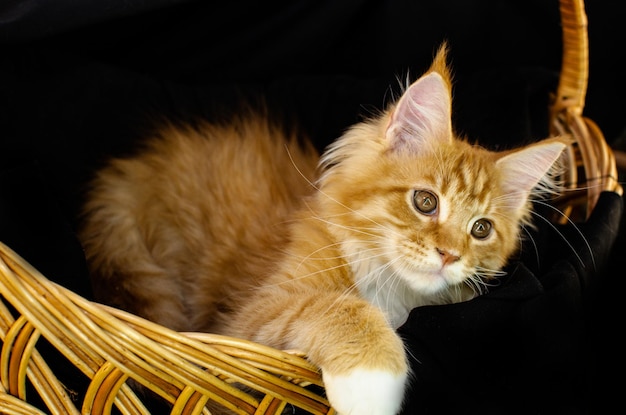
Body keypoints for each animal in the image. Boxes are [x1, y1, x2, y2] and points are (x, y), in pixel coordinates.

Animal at [78, 44, 564, 414]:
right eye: (426, 202)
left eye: (480, 229)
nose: (449, 255)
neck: (393, 291)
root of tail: (135, 168)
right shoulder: (246, 320)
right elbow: (338, 307)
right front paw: (373, 386)